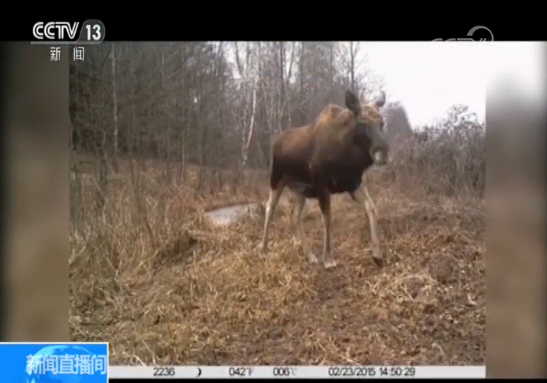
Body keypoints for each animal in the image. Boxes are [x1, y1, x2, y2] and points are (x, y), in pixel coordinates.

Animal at [260, 90, 390, 270]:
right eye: (362, 123)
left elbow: (371, 207)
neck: (348, 156)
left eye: (381, 122)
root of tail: (274, 143)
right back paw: (264, 249)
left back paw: (309, 255)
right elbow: (327, 218)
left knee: (295, 215)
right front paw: (328, 258)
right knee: (269, 208)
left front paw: (377, 254)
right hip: (276, 179)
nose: (382, 152)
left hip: (301, 190)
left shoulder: (353, 183)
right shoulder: (323, 186)